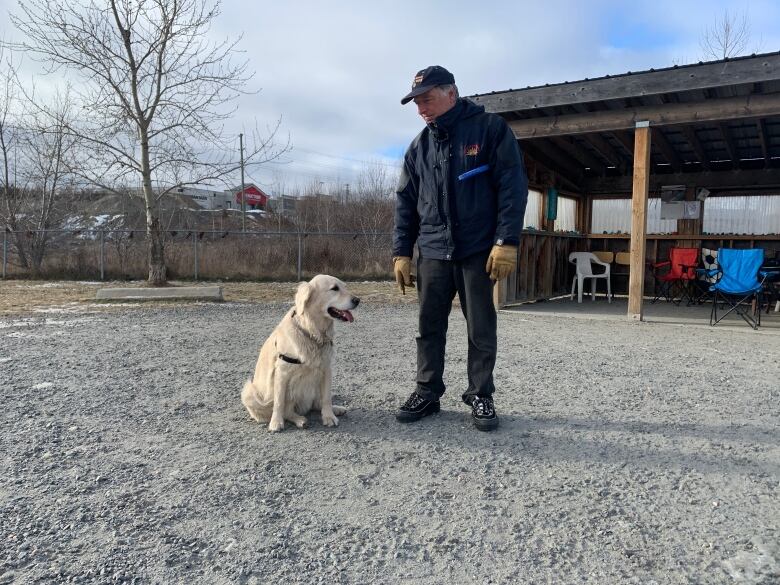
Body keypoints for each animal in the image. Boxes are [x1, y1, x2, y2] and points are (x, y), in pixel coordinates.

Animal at [241, 272, 360, 428]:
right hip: (250, 392)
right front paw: (276, 422)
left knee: (317, 403)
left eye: (345, 287)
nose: (357, 300)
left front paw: (329, 416)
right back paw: (300, 420)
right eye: (334, 288)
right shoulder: (282, 372)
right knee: (287, 411)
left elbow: (326, 398)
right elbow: (279, 403)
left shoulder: (326, 368)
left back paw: (336, 409)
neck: (312, 332)